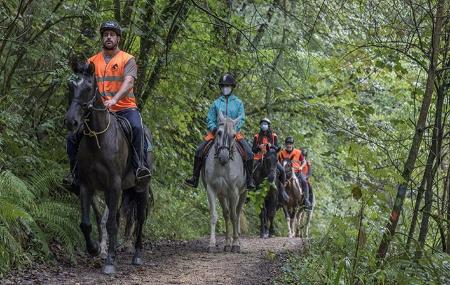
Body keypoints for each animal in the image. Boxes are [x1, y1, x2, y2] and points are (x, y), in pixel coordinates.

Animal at [65, 61, 152, 274]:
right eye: (71, 86)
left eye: (89, 87)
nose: (71, 121)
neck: (98, 139)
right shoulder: (87, 185)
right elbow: (86, 223)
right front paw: (95, 249)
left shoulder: (114, 185)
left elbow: (111, 223)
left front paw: (110, 261)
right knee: (119, 217)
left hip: (141, 188)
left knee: (140, 219)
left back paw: (136, 255)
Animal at [202, 110, 248, 251]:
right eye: (218, 132)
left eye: (234, 135)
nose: (223, 157)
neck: (222, 166)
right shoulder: (211, 189)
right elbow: (214, 216)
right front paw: (211, 244)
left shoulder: (234, 191)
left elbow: (234, 216)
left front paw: (236, 244)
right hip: (223, 195)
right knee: (226, 214)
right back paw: (227, 243)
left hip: (242, 193)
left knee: (236, 213)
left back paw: (235, 241)